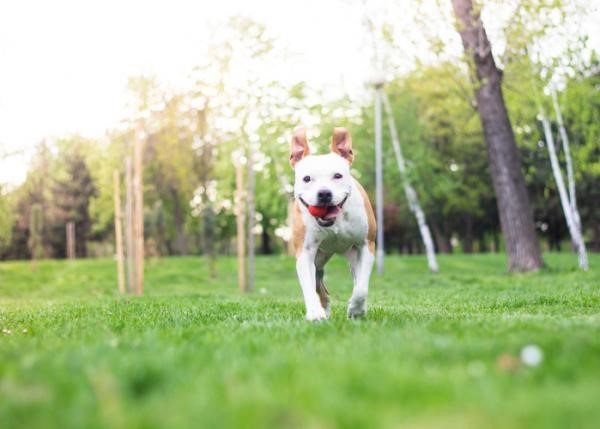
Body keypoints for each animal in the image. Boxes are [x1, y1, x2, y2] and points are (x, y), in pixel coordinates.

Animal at [290, 125, 376, 320]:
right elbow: (308, 288)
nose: (324, 193)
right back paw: (324, 309)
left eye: (338, 176)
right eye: (307, 178)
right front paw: (315, 313)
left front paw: (356, 309)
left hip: (351, 256)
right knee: (320, 288)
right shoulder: (305, 253)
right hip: (317, 261)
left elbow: (361, 288)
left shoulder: (366, 245)